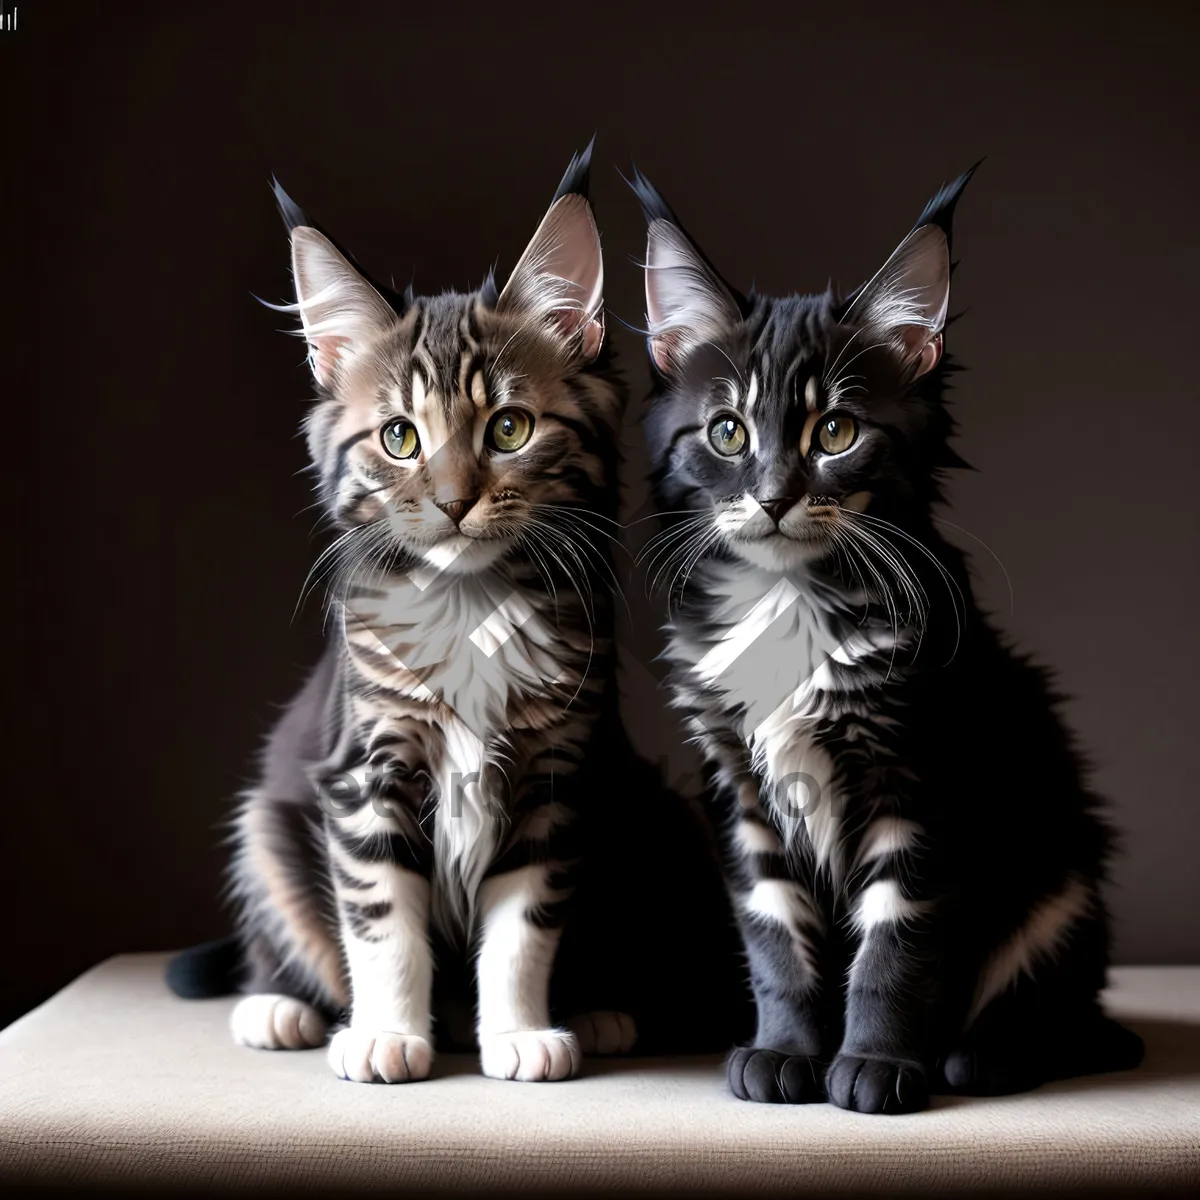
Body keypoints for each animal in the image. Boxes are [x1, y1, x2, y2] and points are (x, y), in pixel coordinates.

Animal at [228, 145, 633, 1084]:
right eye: (400, 438)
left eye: (510, 428)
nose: (453, 503)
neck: (469, 605)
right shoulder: (362, 773)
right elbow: (384, 924)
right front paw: (386, 1034)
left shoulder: (557, 779)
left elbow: (523, 927)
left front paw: (520, 1034)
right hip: (265, 822)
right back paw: (277, 1005)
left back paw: (597, 1008)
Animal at [633, 169, 1137, 1113]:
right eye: (727, 432)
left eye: (835, 433)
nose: (774, 496)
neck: (789, 598)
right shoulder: (741, 793)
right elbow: (774, 936)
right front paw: (784, 1051)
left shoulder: (919, 776)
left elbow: (894, 947)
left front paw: (874, 1066)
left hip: (1061, 873)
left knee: (1056, 1007)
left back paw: (984, 1055)